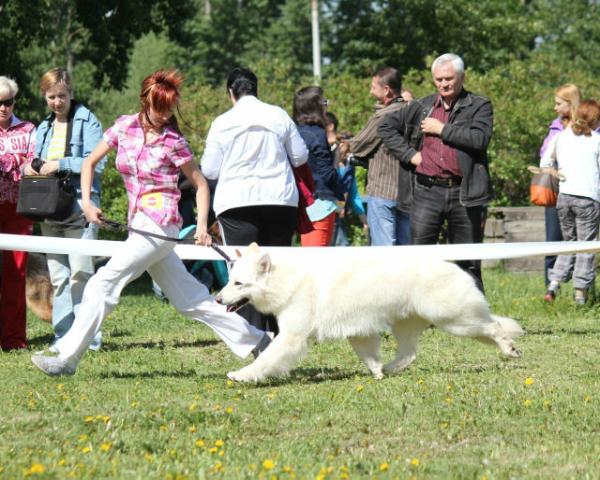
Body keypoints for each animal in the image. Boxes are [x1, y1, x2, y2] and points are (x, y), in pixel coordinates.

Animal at [218, 244, 524, 382]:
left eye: (238, 283)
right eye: (229, 279)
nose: (218, 299)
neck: (286, 280)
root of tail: (455, 266)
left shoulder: (292, 337)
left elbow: (266, 359)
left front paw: (242, 375)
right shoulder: (358, 331)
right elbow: (368, 355)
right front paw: (377, 371)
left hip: (455, 319)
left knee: (493, 327)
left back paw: (509, 348)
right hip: (407, 324)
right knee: (410, 354)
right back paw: (389, 368)